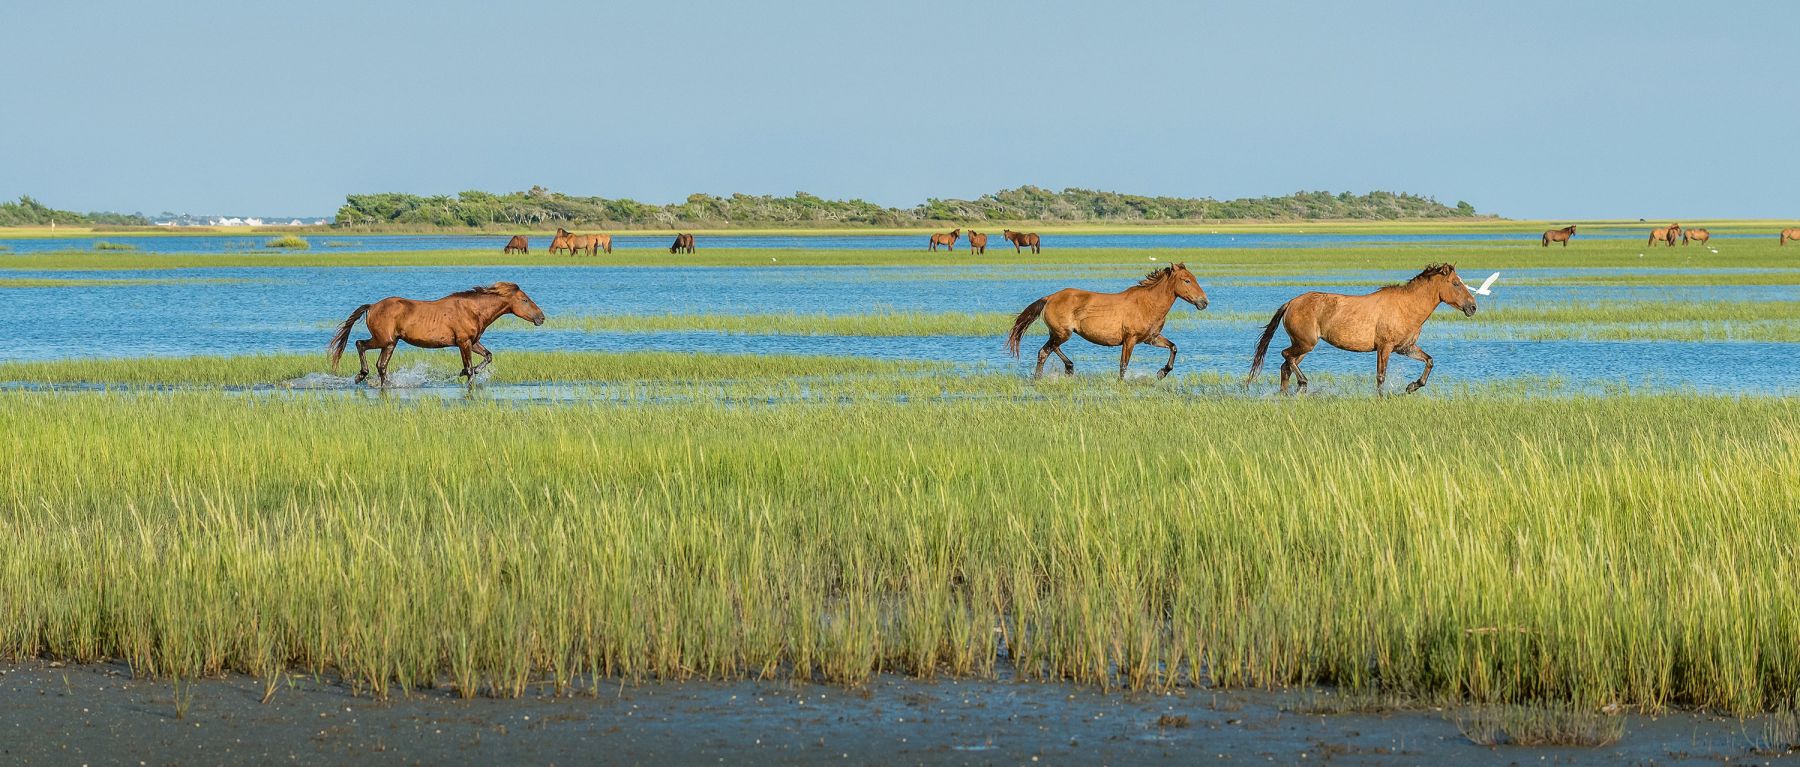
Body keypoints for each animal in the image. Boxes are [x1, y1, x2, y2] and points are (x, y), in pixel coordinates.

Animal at [327, 282, 546, 387]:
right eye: (525, 300)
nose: (541, 318)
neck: (473, 310)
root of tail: (372, 306)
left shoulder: (473, 342)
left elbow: (488, 356)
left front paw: (464, 372)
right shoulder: (464, 342)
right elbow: (470, 369)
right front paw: (467, 375)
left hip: (390, 344)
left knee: (381, 365)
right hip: (384, 340)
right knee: (360, 345)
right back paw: (360, 376)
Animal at [1006, 263, 1208, 379]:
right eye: (1187, 280)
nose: (1204, 302)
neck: (1147, 304)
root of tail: (1049, 298)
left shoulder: (1151, 338)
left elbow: (1173, 347)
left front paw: (1161, 373)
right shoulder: (1130, 340)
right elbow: (1123, 365)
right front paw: (1121, 382)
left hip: (1059, 333)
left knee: (1050, 349)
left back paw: (1067, 369)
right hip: (1062, 333)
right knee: (1044, 351)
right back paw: (1042, 376)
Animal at [1247, 263, 1477, 395]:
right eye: (1456, 284)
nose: (1472, 307)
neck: (1406, 306)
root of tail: (1291, 303)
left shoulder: (1405, 348)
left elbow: (1429, 361)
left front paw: (1411, 386)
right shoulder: (1384, 347)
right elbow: (1380, 376)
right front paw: (1381, 398)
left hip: (1303, 346)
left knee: (1286, 366)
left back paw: (1287, 395)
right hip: (1305, 344)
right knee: (1286, 357)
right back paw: (1302, 384)